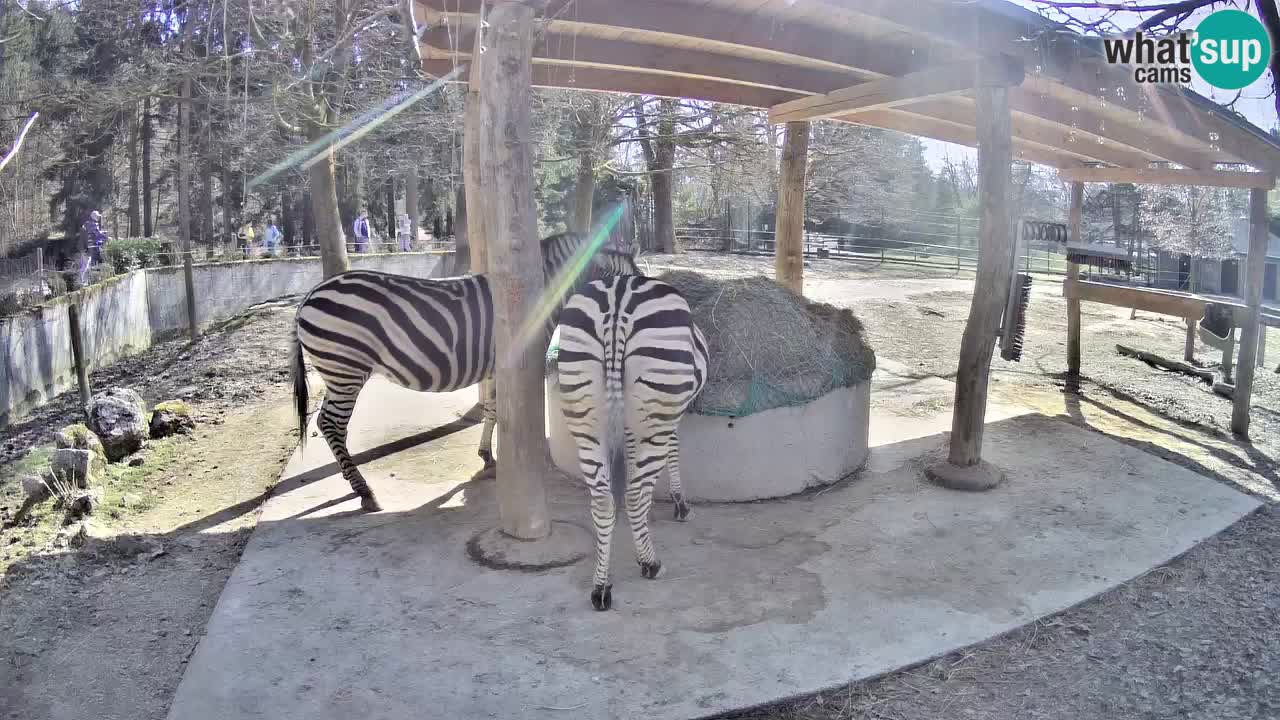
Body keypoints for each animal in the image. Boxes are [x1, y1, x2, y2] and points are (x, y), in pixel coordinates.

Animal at [291, 230, 640, 509]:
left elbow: (492, 409)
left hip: (338, 373)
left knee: (326, 423)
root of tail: (309, 295)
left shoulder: (497, 367)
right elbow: (505, 409)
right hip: (346, 369)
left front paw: (487, 456)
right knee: (332, 424)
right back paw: (364, 491)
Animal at [555, 271, 711, 607]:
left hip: (586, 413)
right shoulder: (671, 413)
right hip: (657, 408)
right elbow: (673, 450)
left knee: (602, 501)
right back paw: (650, 563)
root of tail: (617, 302)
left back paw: (601, 587)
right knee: (637, 495)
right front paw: (680, 504)